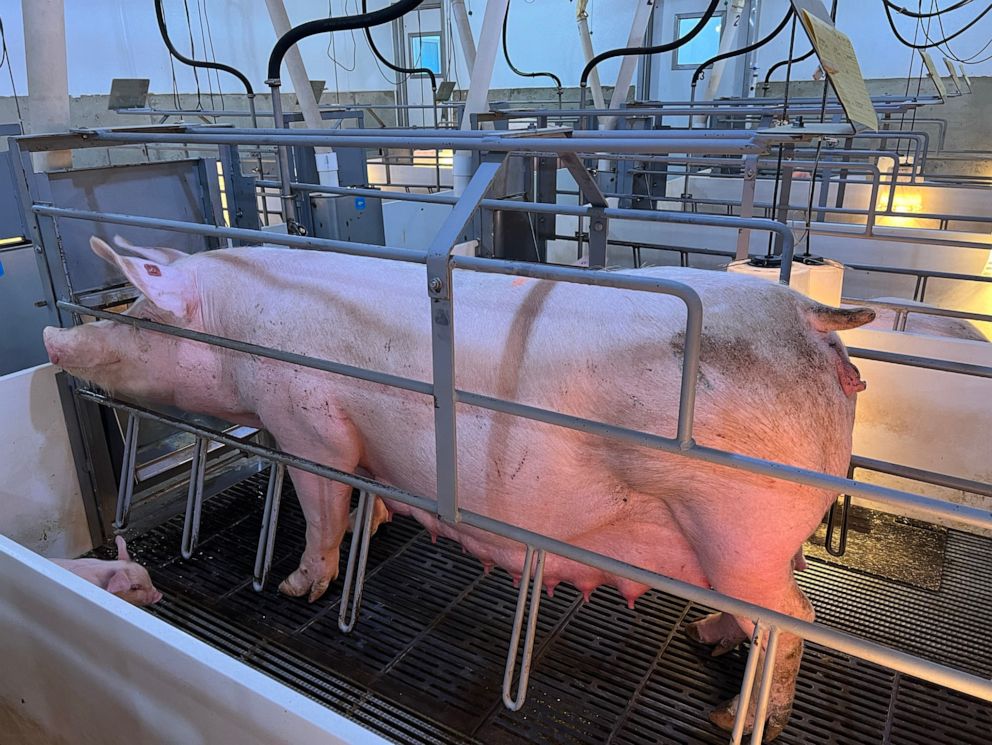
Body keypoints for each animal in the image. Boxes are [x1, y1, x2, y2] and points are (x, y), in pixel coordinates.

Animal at [44, 235, 874, 739]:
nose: (53, 339)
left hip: (740, 527)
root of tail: (813, 318)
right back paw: (708, 634)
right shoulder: (361, 442)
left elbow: (321, 510)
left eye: (142, 314)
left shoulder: (309, 425)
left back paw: (733, 713)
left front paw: (294, 588)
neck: (241, 323)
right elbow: (367, 492)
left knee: (794, 619)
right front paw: (373, 527)